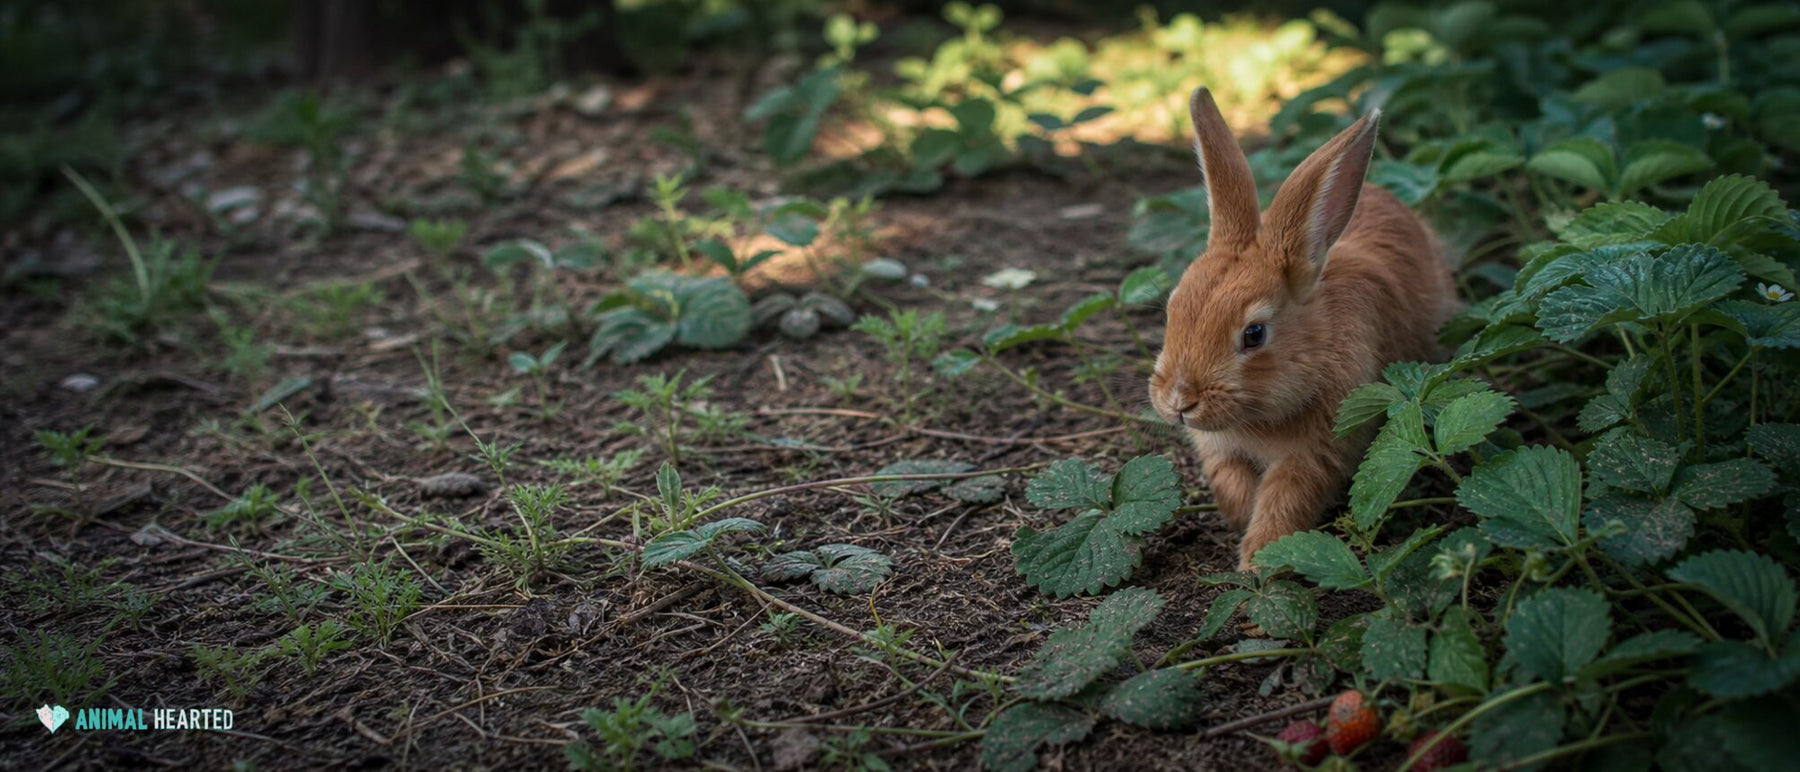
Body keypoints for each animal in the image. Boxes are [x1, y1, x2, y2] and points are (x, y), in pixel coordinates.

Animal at [1148, 87, 1458, 570]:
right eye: (1172, 310)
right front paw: (1241, 524)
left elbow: (1285, 501)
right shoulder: (1219, 451)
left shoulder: (1318, 449)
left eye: (1254, 334)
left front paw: (1257, 560)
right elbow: (1232, 485)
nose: (1180, 402)